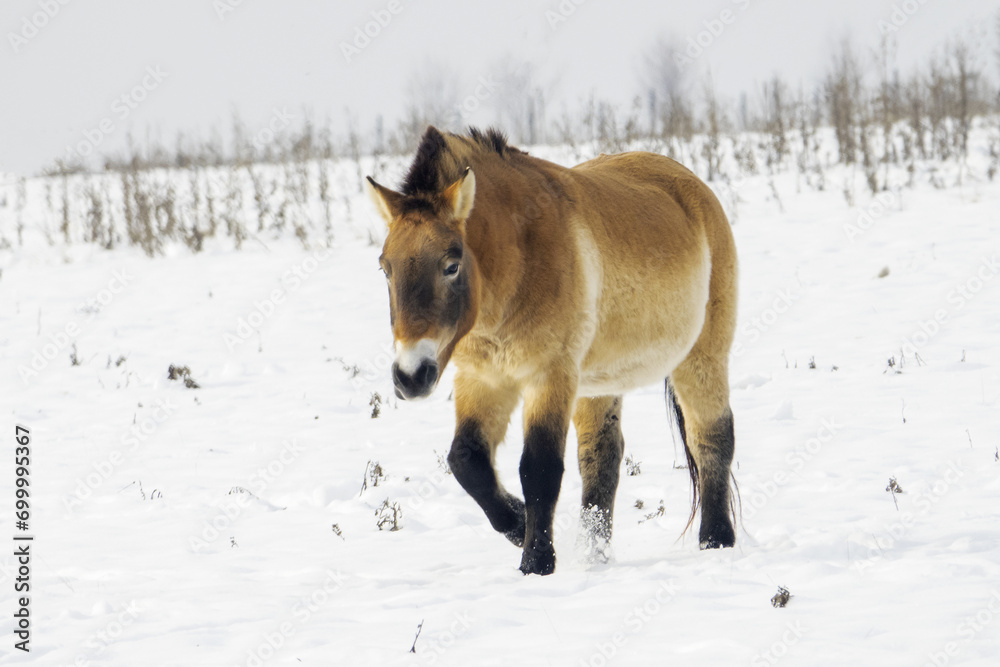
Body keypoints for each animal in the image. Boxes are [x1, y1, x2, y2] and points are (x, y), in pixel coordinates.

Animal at [367, 126, 738, 575]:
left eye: (451, 265)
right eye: (385, 267)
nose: (410, 376)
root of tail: (691, 183)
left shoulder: (549, 375)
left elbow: (539, 468)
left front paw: (536, 561)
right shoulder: (484, 378)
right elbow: (466, 462)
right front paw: (518, 523)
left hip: (701, 357)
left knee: (712, 437)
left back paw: (716, 540)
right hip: (599, 384)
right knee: (601, 457)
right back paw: (596, 556)